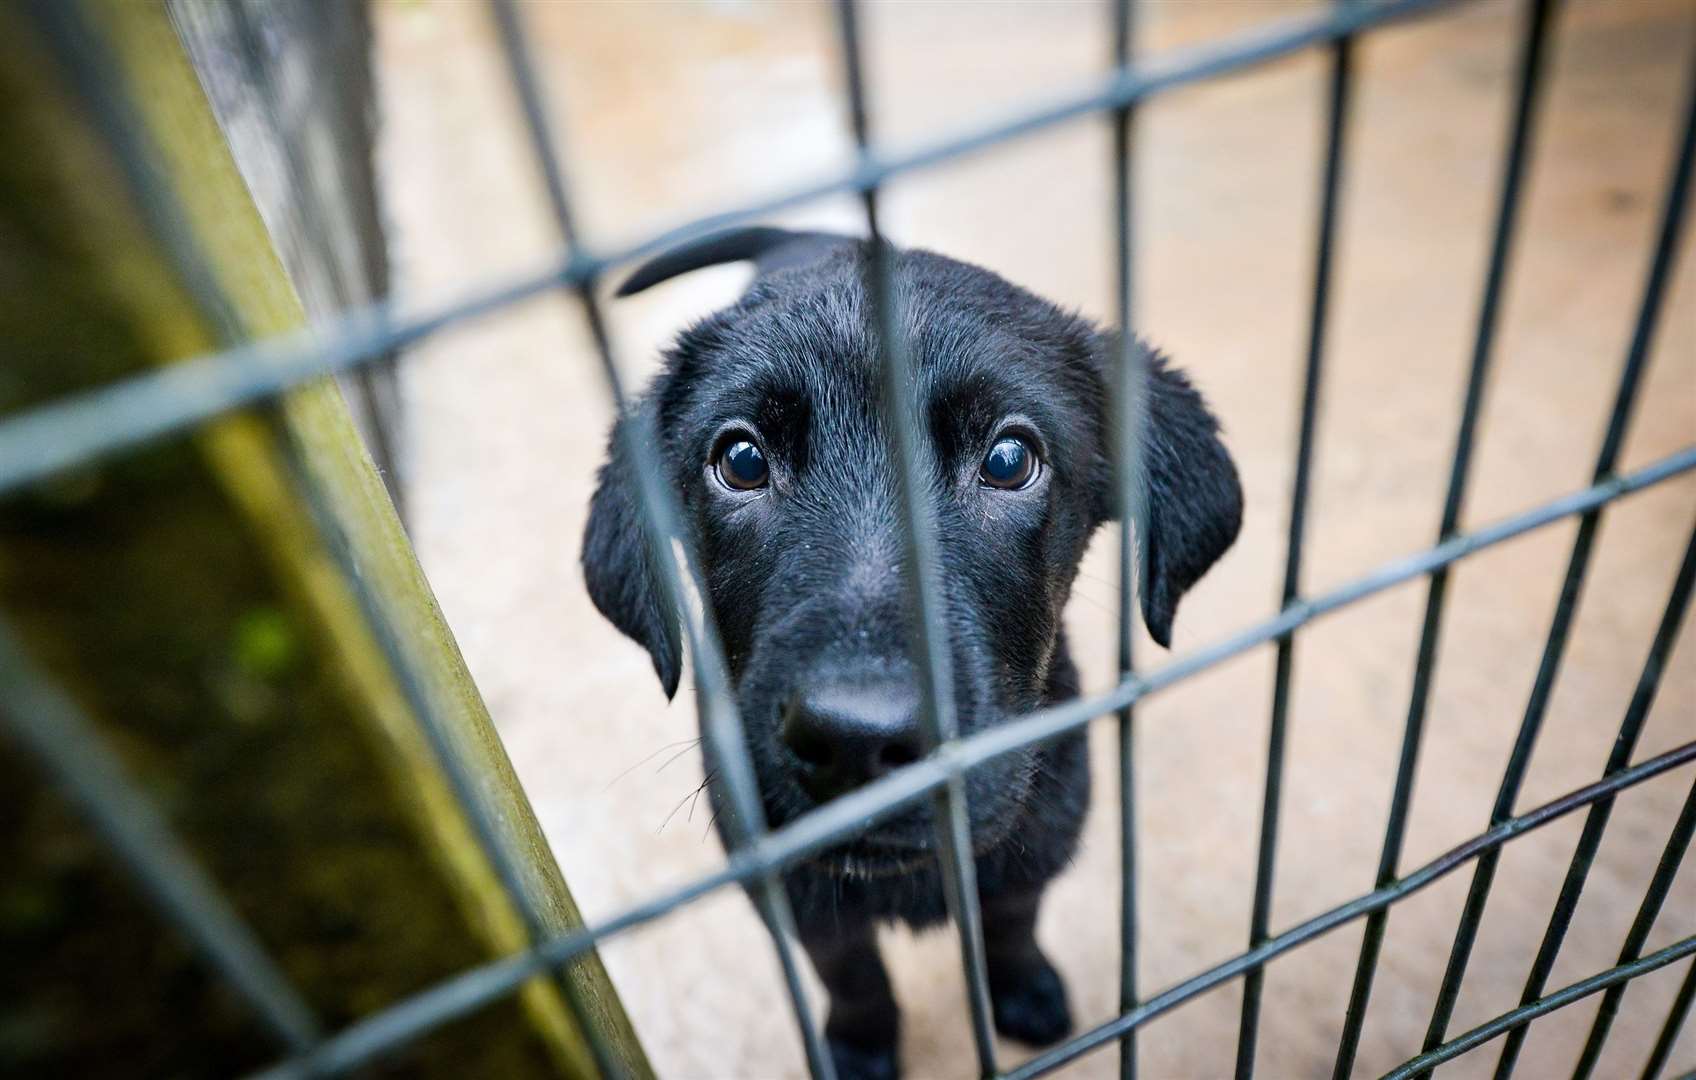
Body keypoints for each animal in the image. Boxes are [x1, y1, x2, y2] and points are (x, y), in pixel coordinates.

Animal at [590, 223, 1241, 1071]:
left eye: (1009, 460)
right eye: (741, 461)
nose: (855, 743)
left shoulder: (1037, 842)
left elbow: (1012, 925)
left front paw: (1021, 991)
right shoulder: (792, 890)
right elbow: (851, 971)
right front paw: (859, 1046)